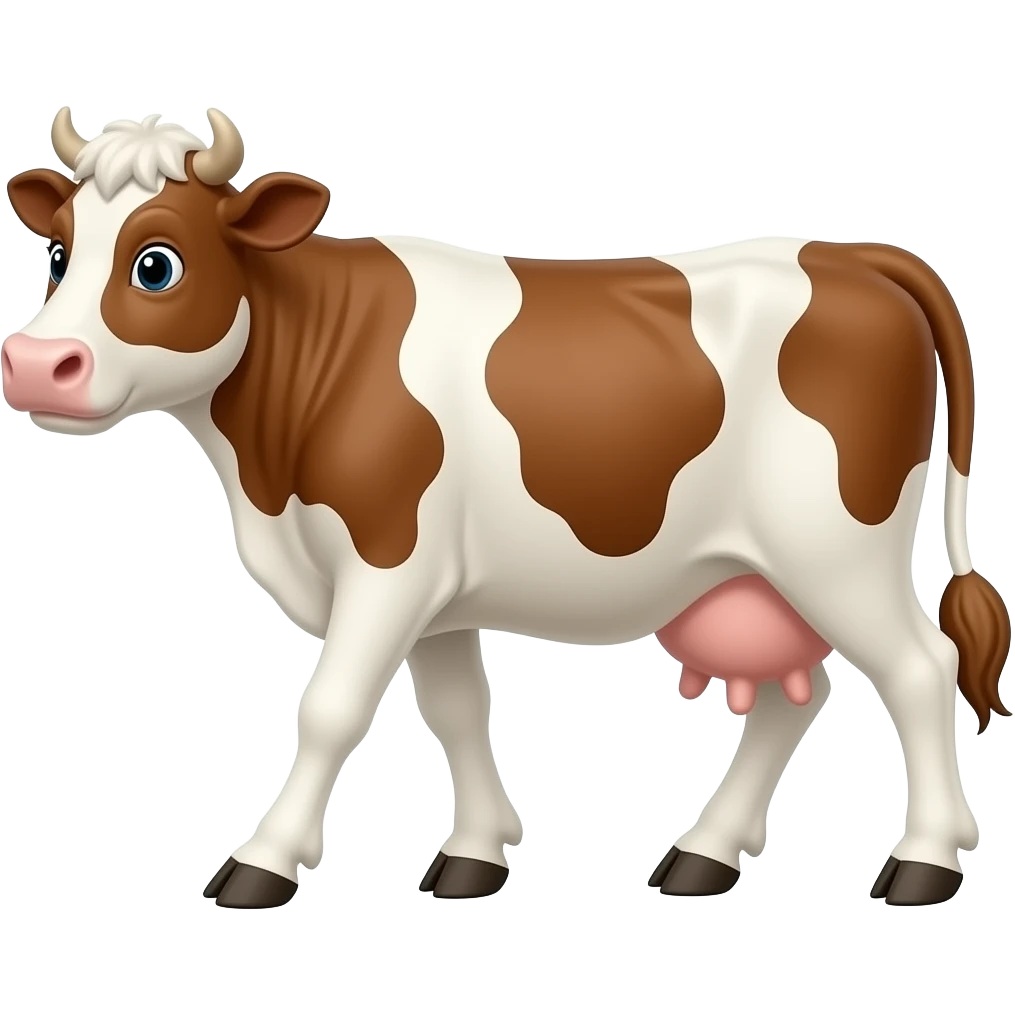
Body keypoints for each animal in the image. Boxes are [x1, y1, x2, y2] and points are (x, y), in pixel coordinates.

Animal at [2, 108, 1010, 910]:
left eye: (157, 264)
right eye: (58, 252)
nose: (38, 365)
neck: (267, 471)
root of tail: (845, 252)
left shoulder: (389, 559)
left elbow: (329, 708)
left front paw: (263, 863)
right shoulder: (437, 590)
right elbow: (457, 710)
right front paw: (474, 857)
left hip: (837, 548)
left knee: (919, 669)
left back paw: (924, 864)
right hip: (760, 569)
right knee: (790, 700)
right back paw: (702, 854)